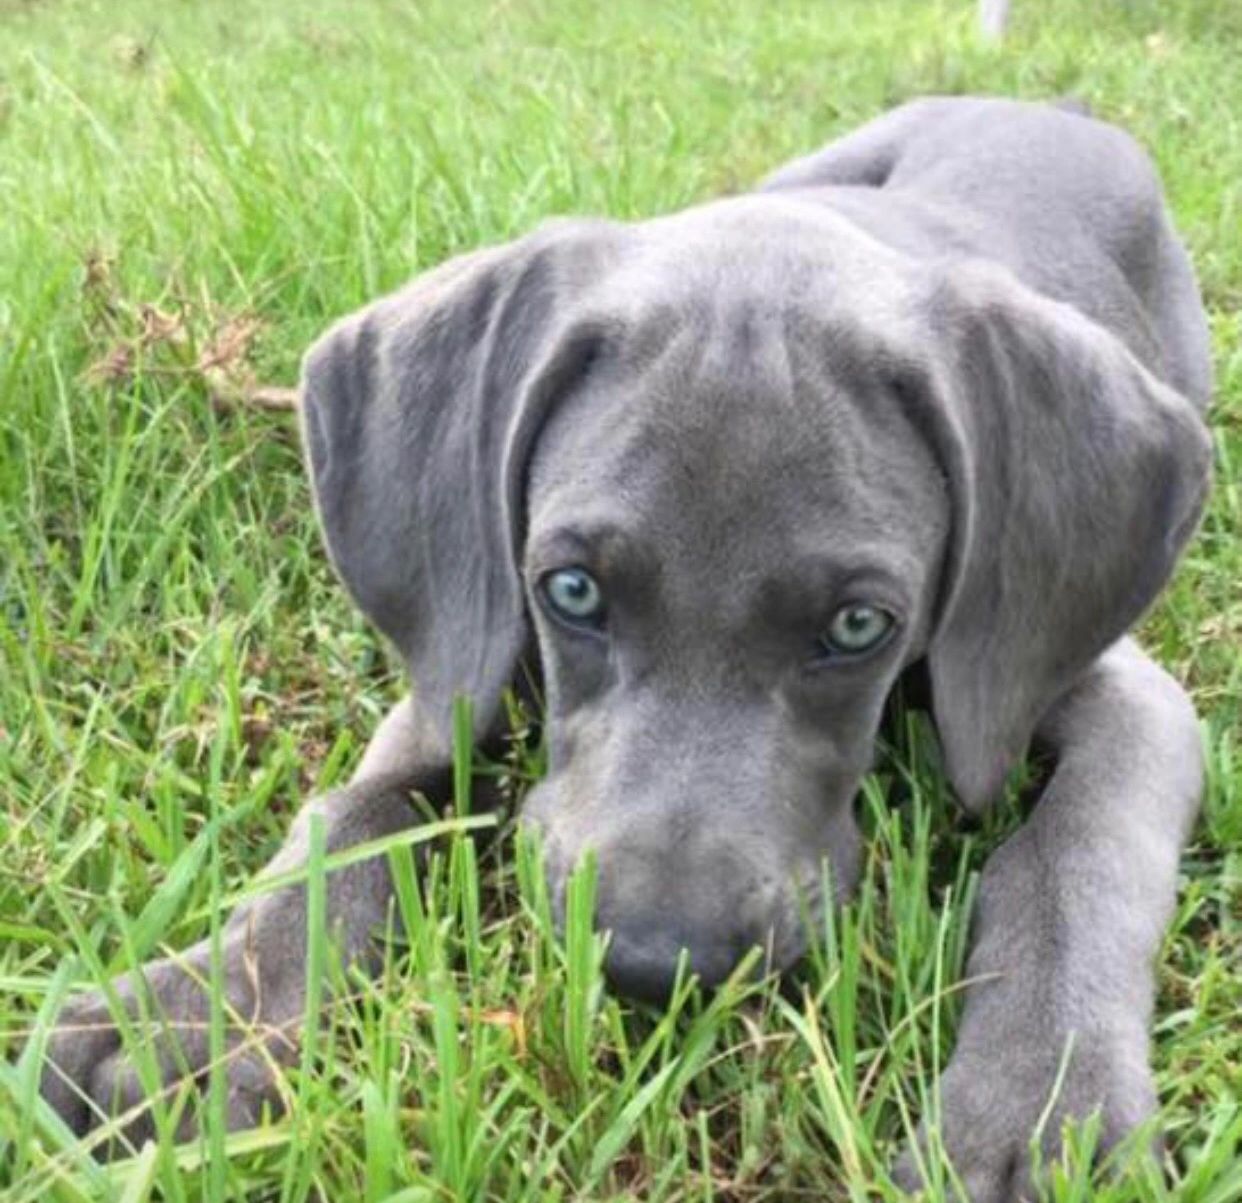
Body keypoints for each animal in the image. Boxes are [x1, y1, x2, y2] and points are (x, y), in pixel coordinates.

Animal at [41, 98, 1212, 1196]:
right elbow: (355, 812)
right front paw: (196, 1019)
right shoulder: (467, 641)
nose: (659, 964)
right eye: (572, 590)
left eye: (858, 626)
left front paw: (1044, 1109)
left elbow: (1075, 854)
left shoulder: (1114, 694)